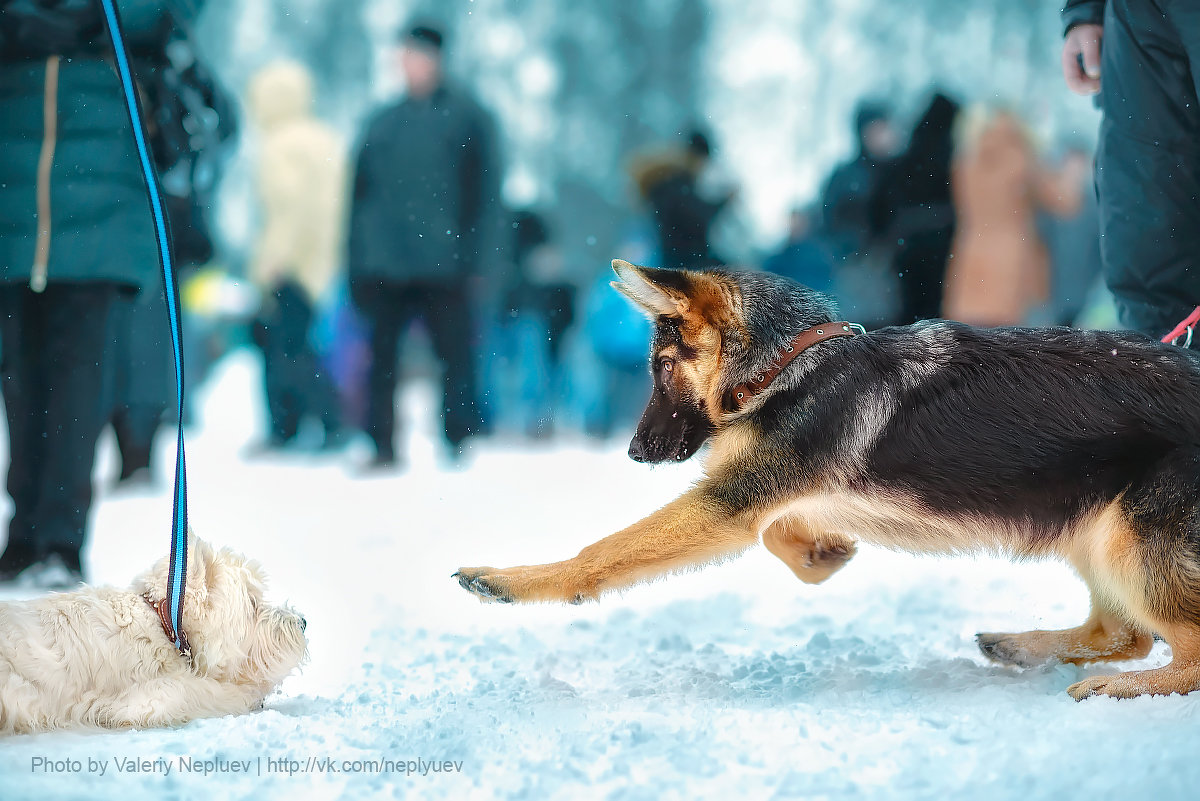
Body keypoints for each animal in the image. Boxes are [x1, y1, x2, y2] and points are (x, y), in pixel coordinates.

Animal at [0, 534, 307, 733]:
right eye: (253, 603)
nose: (303, 622)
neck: (165, 625)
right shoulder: (141, 698)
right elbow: (199, 691)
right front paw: (247, 695)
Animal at [453, 260, 1200, 695]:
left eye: (664, 367)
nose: (636, 452)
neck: (787, 363)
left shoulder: (728, 502)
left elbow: (601, 550)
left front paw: (510, 581)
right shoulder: (764, 495)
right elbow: (781, 531)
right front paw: (823, 553)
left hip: (1127, 539)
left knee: (1174, 648)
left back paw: (1122, 687)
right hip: (1091, 529)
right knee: (1125, 635)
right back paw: (1024, 647)